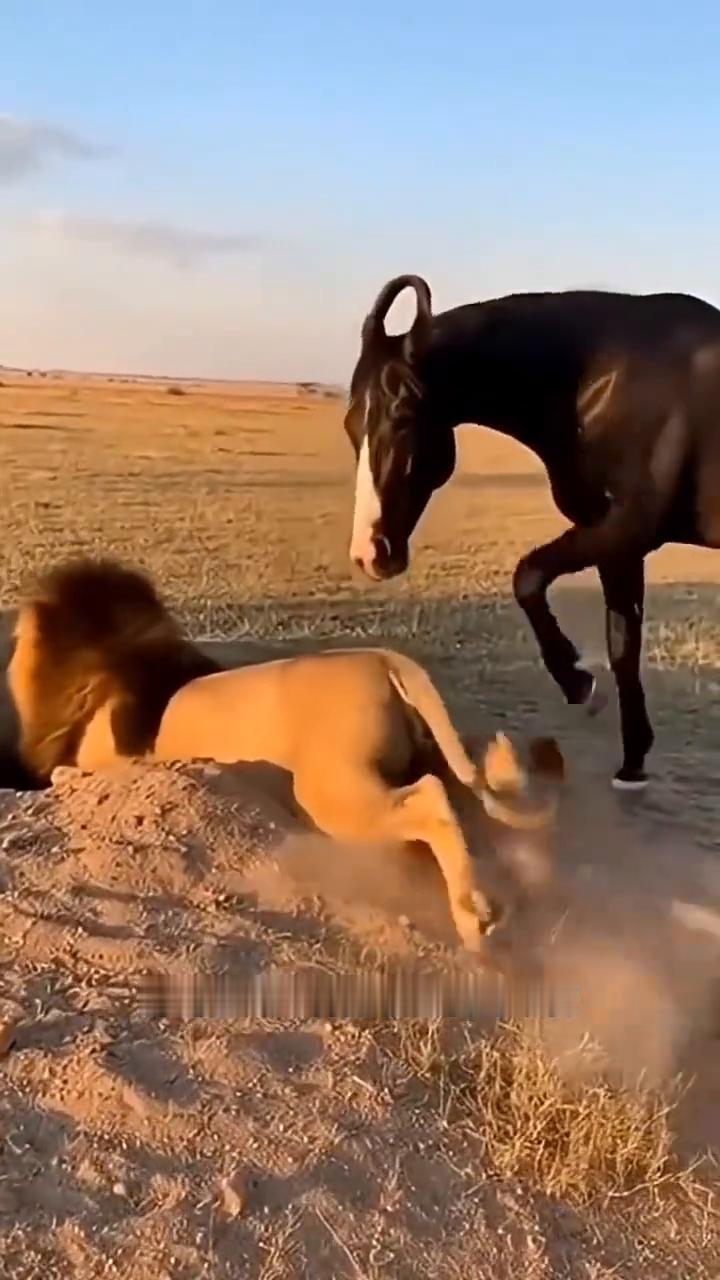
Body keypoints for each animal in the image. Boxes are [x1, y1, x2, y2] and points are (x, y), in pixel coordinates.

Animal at [343, 274, 720, 789]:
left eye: (401, 418)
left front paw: (580, 684)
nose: (370, 553)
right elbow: (623, 645)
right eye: (350, 424)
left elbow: (528, 576)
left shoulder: (627, 528)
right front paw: (632, 764)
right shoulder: (618, 545)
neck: (605, 378)